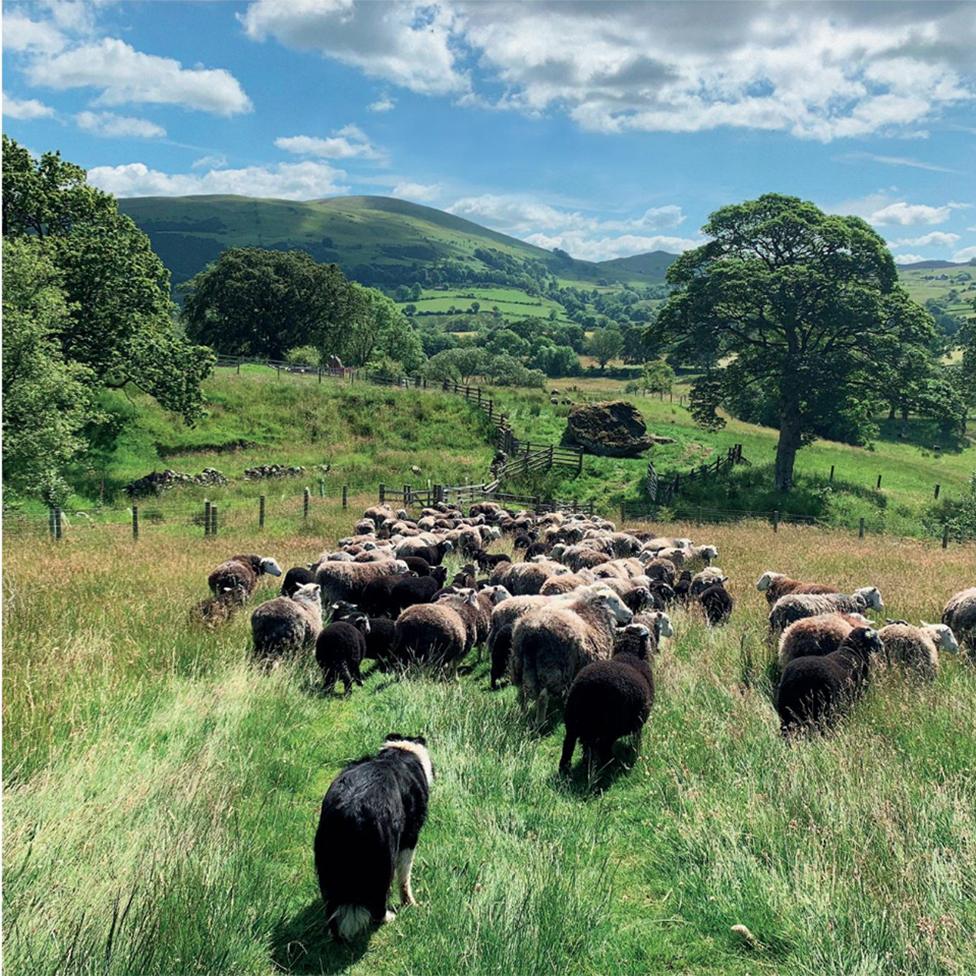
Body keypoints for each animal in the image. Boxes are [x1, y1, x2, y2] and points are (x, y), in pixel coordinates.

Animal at [314, 736, 432, 940]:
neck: (399, 753)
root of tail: (352, 808)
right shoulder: (409, 838)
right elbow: (405, 877)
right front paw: (410, 903)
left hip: (326, 858)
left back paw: (335, 933)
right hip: (384, 858)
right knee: (378, 898)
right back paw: (387, 917)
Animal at [510, 588, 632, 716]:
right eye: (615, 600)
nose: (630, 614)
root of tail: (533, 631)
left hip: (519, 664)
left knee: (522, 693)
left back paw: (523, 713)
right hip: (552, 668)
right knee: (542, 697)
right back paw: (540, 720)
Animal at [556, 624, 656, 776]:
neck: (629, 654)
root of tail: (590, 688)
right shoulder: (638, 720)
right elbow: (637, 738)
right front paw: (635, 749)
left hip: (573, 721)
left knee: (569, 745)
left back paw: (567, 769)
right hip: (611, 726)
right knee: (603, 747)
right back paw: (609, 766)